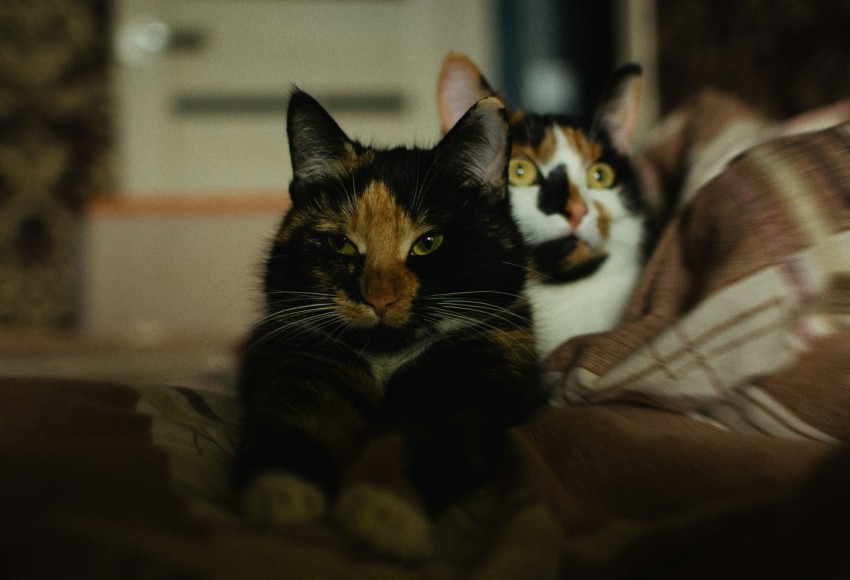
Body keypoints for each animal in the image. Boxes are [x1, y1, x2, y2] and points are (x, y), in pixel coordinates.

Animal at [235, 89, 544, 556]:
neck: (386, 358)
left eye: (428, 242)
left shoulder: (466, 390)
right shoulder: (304, 365)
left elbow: (406, 441)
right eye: (341, 243)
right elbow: (297, 416)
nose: (379, 298)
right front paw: (281, 491)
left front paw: (383, 510)